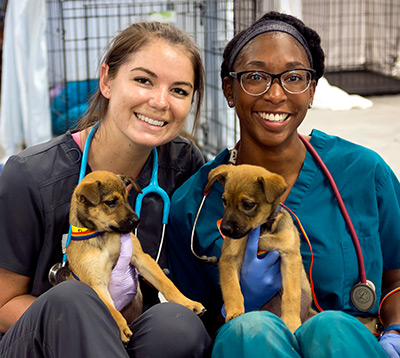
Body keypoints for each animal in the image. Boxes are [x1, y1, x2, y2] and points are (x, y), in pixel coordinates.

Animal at [67, 171, 205, 344]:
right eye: (111, 202)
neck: (102, 235)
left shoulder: (141, 258)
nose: (137, 220)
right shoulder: (94, 281)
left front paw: (187, 302)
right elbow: (110, 309)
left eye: (127, 198)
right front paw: (120, 327)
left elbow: (166, 283)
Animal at [206, 165, 312, 332]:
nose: (224, 229)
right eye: (224, 201)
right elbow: (232, 289)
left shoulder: (290, 256)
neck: (261, 229)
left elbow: (292, 294)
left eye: (248, 205)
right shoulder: (229, 258)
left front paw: (291, 321)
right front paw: (235, 313)